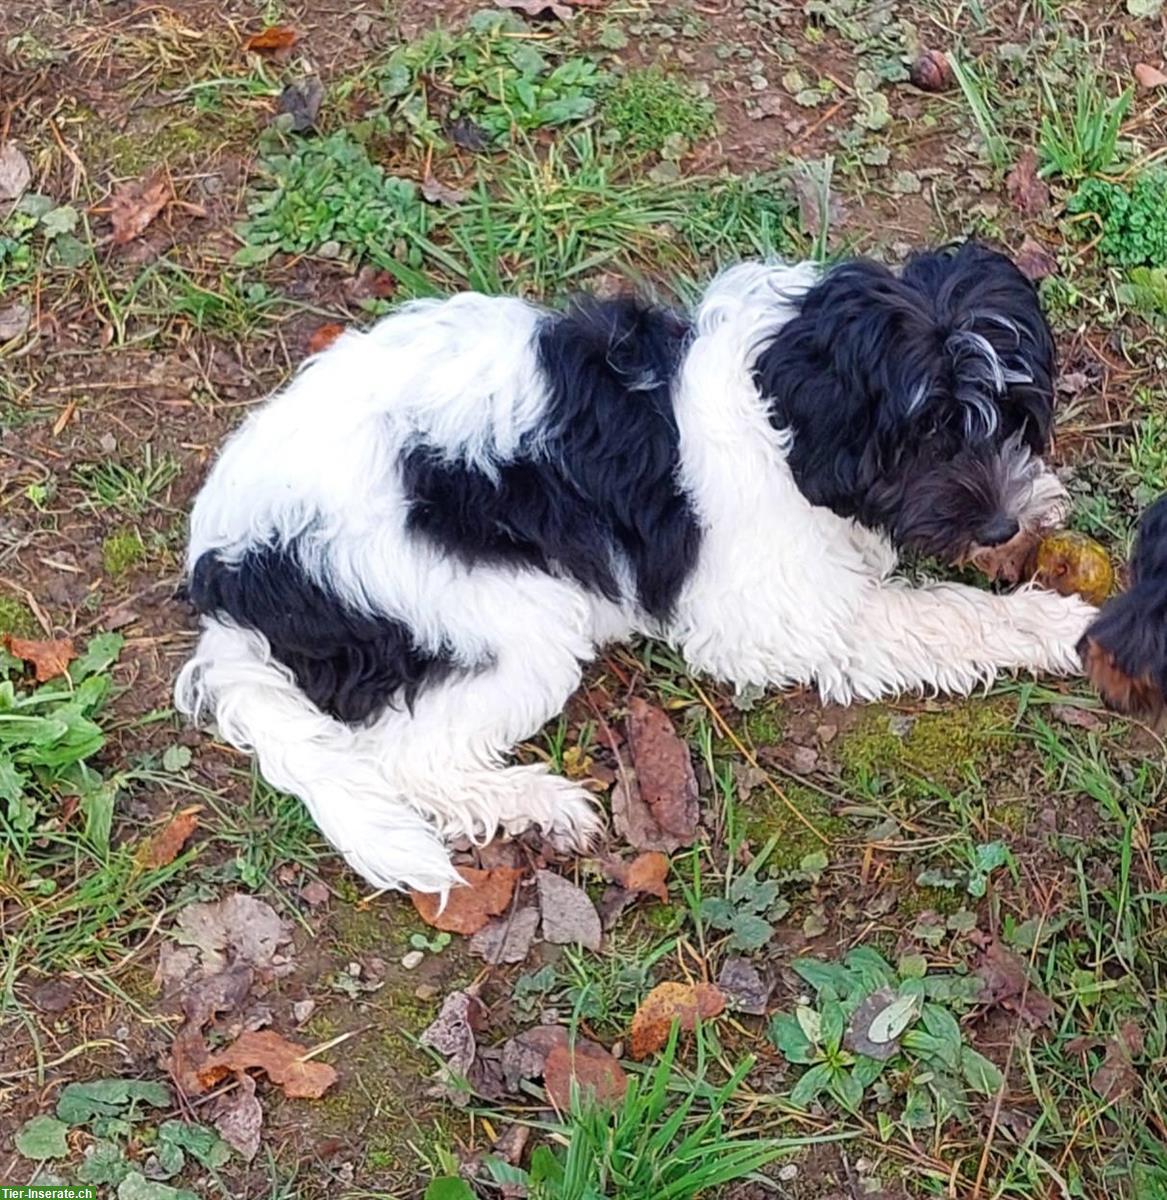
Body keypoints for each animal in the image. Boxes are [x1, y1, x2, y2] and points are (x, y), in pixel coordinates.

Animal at [177, 241, 1099, 892]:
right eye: (928, 432)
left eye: (1013, 414)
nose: (999, 522)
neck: (781, 412)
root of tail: (229, 573)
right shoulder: (775, 612)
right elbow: (941, 613)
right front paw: (1063, 625)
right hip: (501, 615)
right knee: (411, 756)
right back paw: (534, 804)